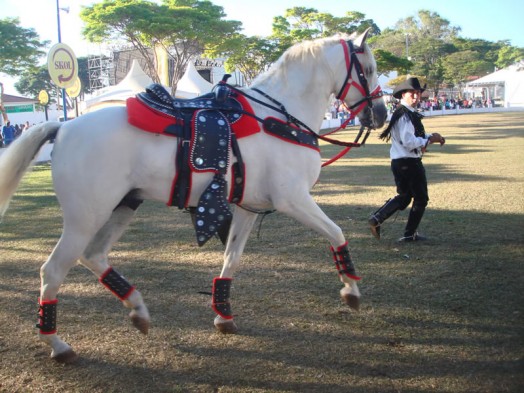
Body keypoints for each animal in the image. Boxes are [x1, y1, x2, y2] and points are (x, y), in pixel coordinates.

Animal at [0, 32, 384, 362]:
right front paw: (351, 291)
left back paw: (137, 309)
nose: (380, 114)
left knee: (93, 255)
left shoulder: (248, 208)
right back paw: (58, 344)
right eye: (367, 69)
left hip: (123, 206)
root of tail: (64, 126)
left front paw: (223, 315)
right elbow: (337, 233)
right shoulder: (293, 199)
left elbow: (232, 259)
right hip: (85, 217)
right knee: (52, 271)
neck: (277, 117)